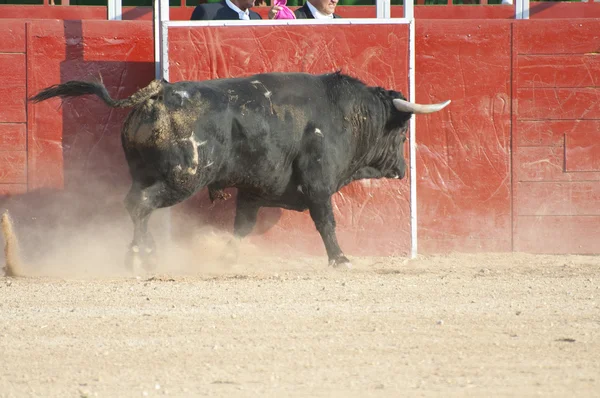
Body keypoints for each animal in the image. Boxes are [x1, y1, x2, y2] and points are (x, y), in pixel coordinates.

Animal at [29, 71, 450, 270]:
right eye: (401, 133)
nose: (402, 169)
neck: (344, 114)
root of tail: (158, 94)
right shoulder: (318, 184)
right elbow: (326, 222)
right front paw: (341, 260)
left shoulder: (254, 191)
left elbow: (242, 227)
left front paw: (227, 258)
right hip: (182, 178)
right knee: (141, 204)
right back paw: (140, 256)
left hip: (145, 172)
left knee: (135, 203)